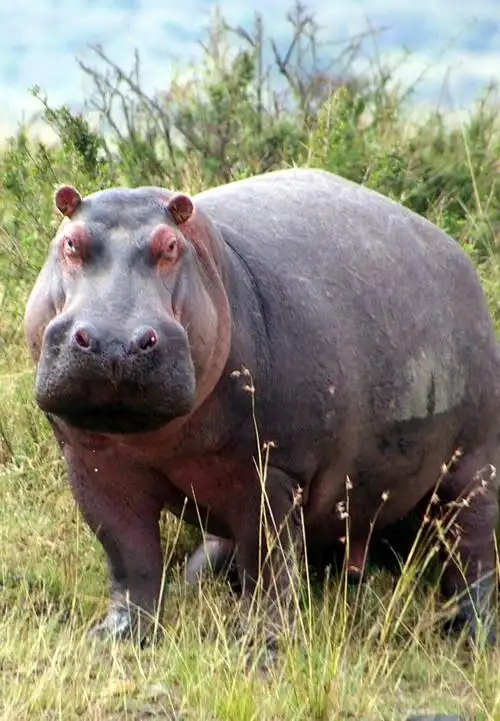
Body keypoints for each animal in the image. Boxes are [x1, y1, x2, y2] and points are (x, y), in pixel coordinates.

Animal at [24, 167, 500, 656]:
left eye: (170, 247)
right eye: (71, 242)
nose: (113, 342)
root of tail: (456, 254)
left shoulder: (269, 472)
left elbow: (268, 563)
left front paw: (258, 647)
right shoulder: (94, 466)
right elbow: (128, 556)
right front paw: (115, 638)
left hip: (474, 466)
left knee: (473, 553)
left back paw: (471, 635)